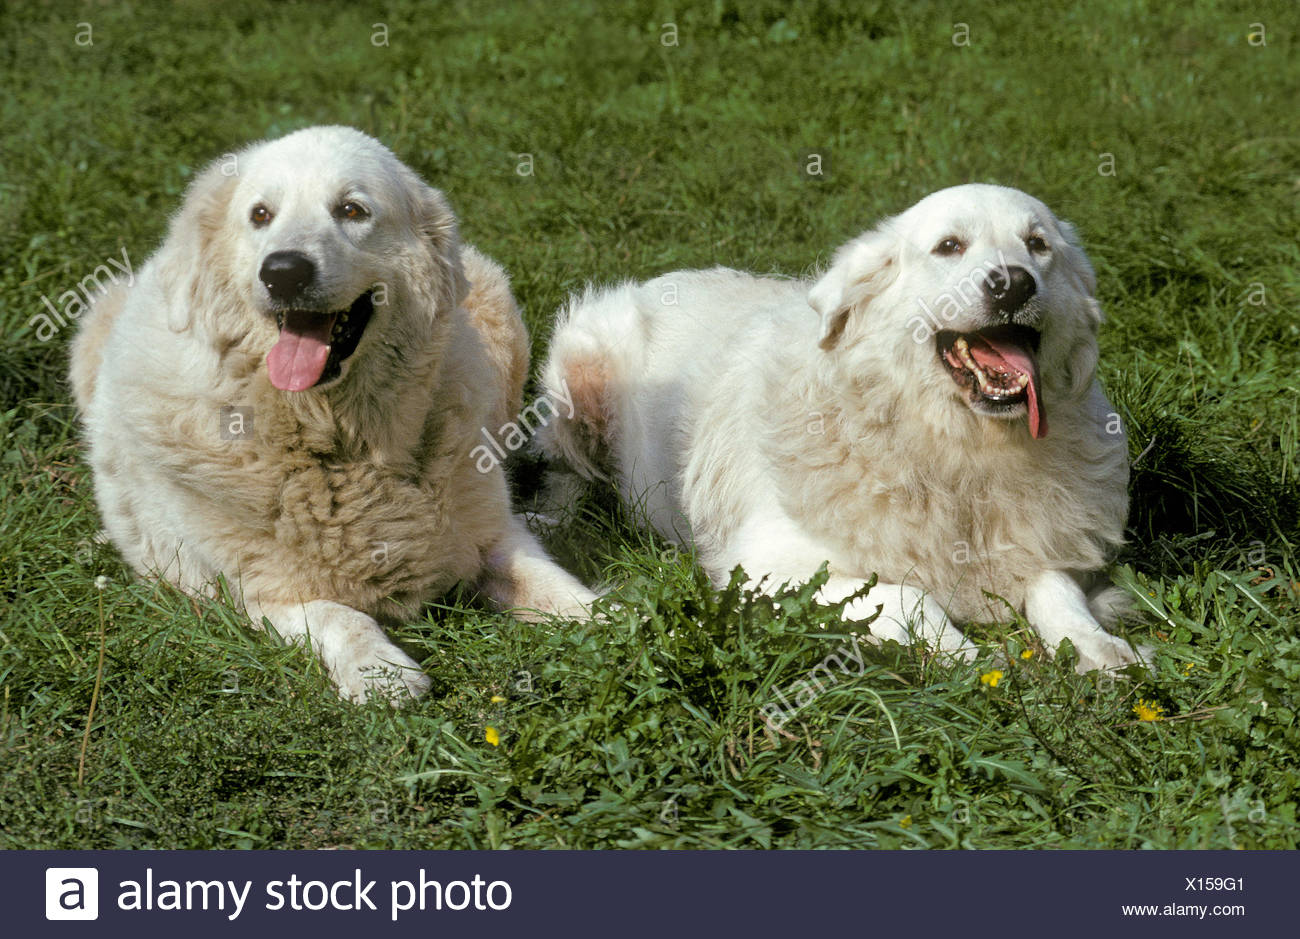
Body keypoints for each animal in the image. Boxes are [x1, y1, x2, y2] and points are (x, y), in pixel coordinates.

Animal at [73, 124, 592, 697]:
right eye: (261, 215)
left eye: (351, 210)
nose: (283, 272)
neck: (339, 441)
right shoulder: (261, 595)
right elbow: (340, 616)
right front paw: (381, 673)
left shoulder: (491, 538)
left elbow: (551, 582)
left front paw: (615, 618)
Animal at [543, 180, 1144, 665]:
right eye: (950, 247)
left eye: (1038, 245)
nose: (1014, 284)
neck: (952, 448)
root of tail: (659, 280)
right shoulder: (764, 569)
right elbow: (909, 595)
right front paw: (969, 658)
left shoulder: (1041, 538)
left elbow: (1056, 588)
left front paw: (1102, 648)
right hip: (577, 375)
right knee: (563, 470)